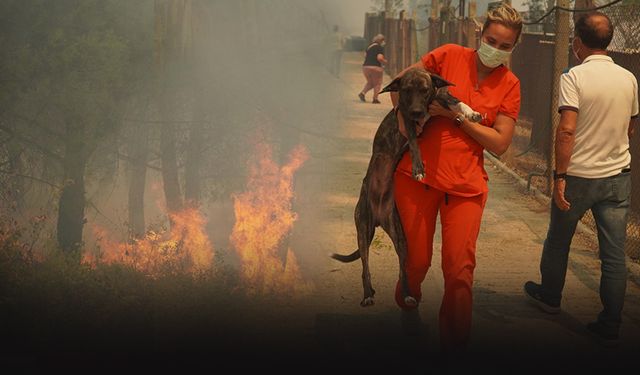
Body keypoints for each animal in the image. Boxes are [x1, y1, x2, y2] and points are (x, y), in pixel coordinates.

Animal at [332, 68, 478, 308]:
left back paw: (407, 295)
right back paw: (367, 294)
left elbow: (455, 101)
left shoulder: (438, 99)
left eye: (425, 90)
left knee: (403, 270)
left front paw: (472, 113)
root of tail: (379, 217)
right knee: (365, 267)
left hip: (400, 237)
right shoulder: (407, 120)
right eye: (407, 90)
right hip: (363, 230)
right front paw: (418, 169)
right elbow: (414, 144)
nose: (418, 112)